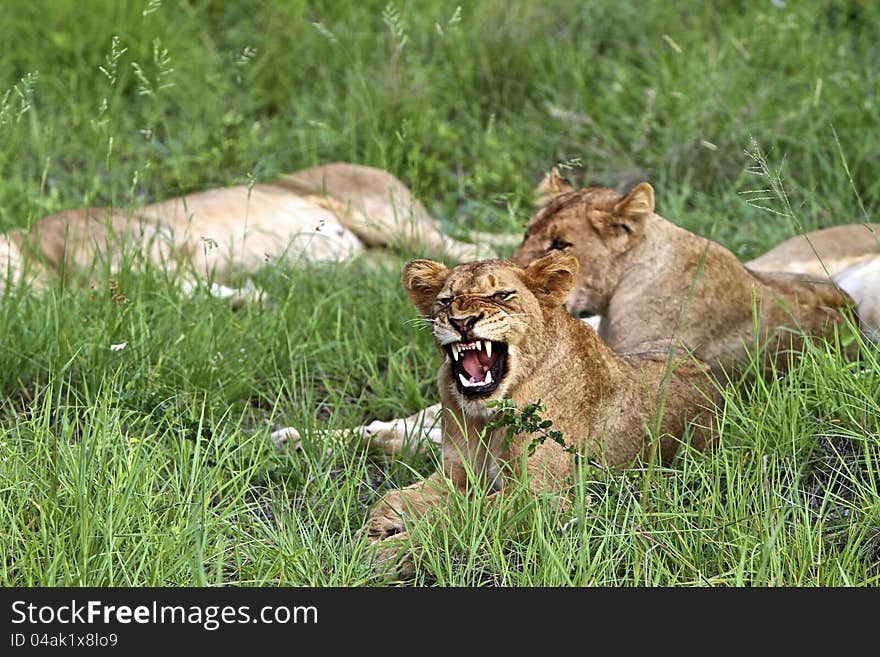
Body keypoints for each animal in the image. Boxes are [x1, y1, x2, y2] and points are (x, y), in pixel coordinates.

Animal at [360, 252, 720, 564]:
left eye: (502, 295)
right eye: (446, 301)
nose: (462, 322)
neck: (489, 415)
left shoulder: (541, 496)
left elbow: (457, 519)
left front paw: (383, 554)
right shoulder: (455, 476)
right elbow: (393, 498)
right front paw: (375, 527)